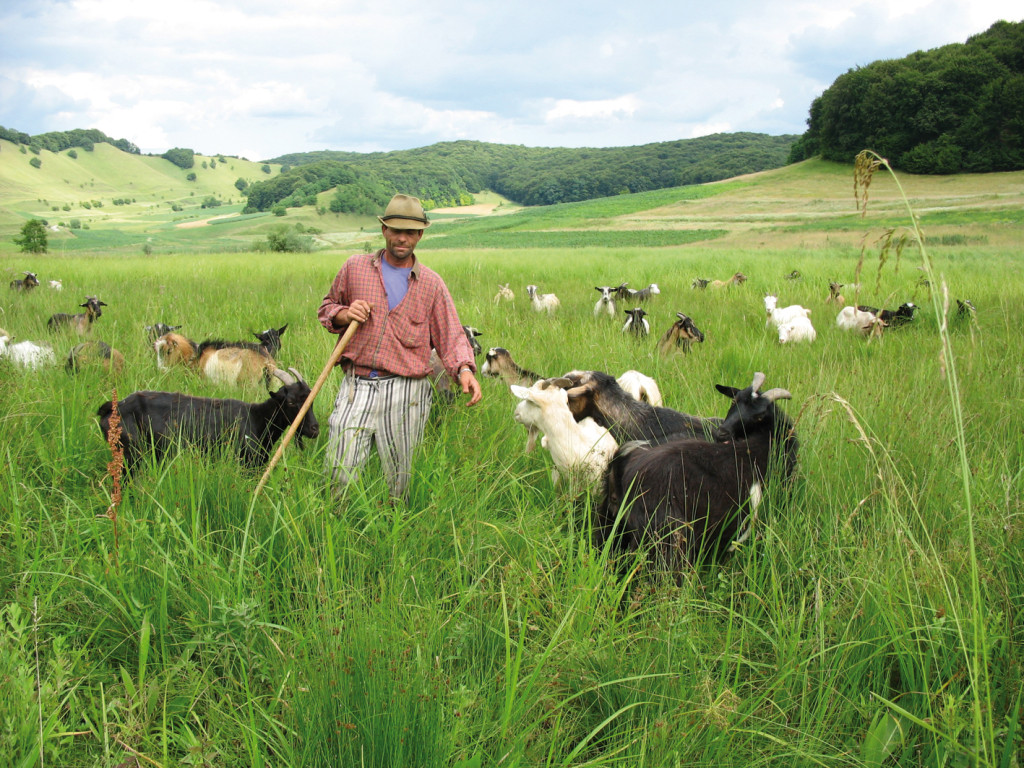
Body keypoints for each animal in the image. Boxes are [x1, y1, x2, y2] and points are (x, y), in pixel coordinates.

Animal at [98, 368, 318, 475]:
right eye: (291, 401)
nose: (314, 429)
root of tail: (111, 409)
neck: (257, 418)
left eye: (310, 398)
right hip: (130, 456)